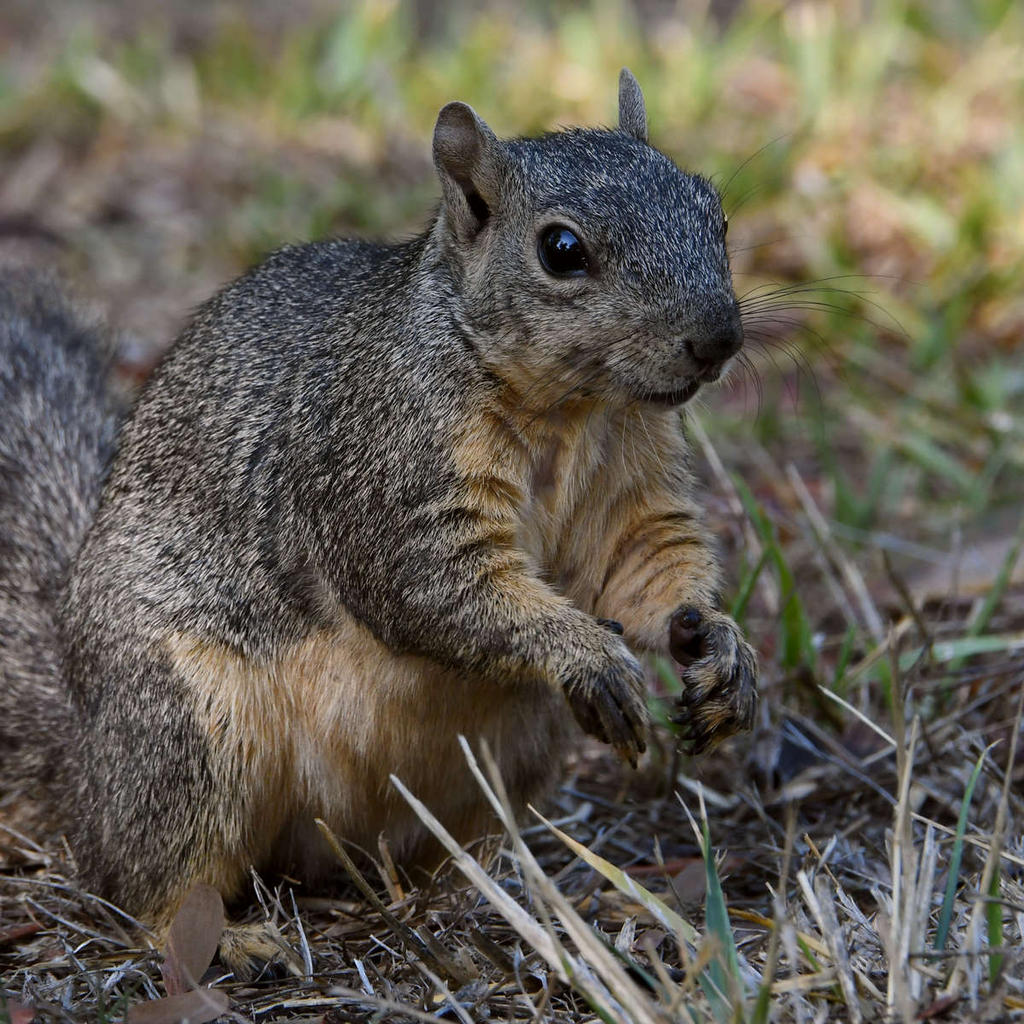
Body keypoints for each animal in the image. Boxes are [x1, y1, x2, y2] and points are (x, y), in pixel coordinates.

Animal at [0, 70, 757, 966]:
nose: (718, 337)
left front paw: (719, 647)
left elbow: (646, 563)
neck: (574, 412)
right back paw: (230, 941)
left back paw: (490, 891)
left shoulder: (632, 488)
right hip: (188, 730)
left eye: (714, 210)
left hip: (511, 753)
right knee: (145, 879)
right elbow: (429, 584)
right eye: (562, 250)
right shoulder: (385, 471)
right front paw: (586, 652)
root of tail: (86, 762)